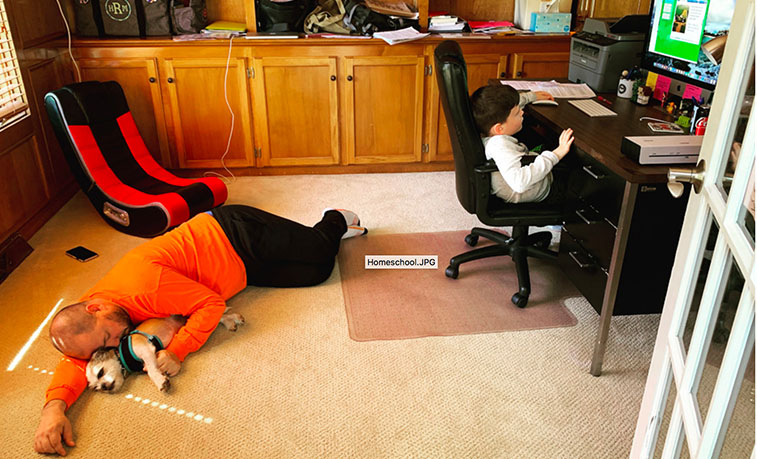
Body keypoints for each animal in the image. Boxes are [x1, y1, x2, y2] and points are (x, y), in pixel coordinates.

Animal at [87, 310, 244, 394]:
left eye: (100, 372)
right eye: (96, 388)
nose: (104, 387)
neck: (122, 356)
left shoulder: (145, 349)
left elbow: (151, 371)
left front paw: (160, 381)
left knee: (220, 317)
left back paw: (234, 318)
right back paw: (231, 322)